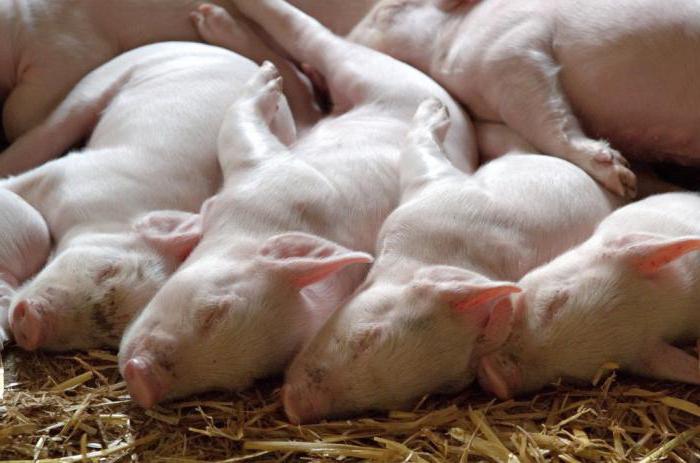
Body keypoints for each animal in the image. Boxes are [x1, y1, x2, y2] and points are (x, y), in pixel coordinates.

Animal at [5, 42, 297, 351]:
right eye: (108, 270)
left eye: (103, 338)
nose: (32, 326)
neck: (108, 217)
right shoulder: (71, 176)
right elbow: (18, 182)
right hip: (100, 81)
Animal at [118, 1, 477, 409]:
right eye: (213, 311)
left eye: (243, 379)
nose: (142, 382)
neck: (260, 224)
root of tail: (454, 110)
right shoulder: (272, 171)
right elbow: (238, 128)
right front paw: (263, 81)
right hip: (372, 75)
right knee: (314, 48)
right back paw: (227, 32)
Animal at [348, 0, 700, 197]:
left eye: (387, 11)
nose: (347, 36)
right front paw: (637, 183)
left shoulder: (510, 51)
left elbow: (545, 114)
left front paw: (622, 179)